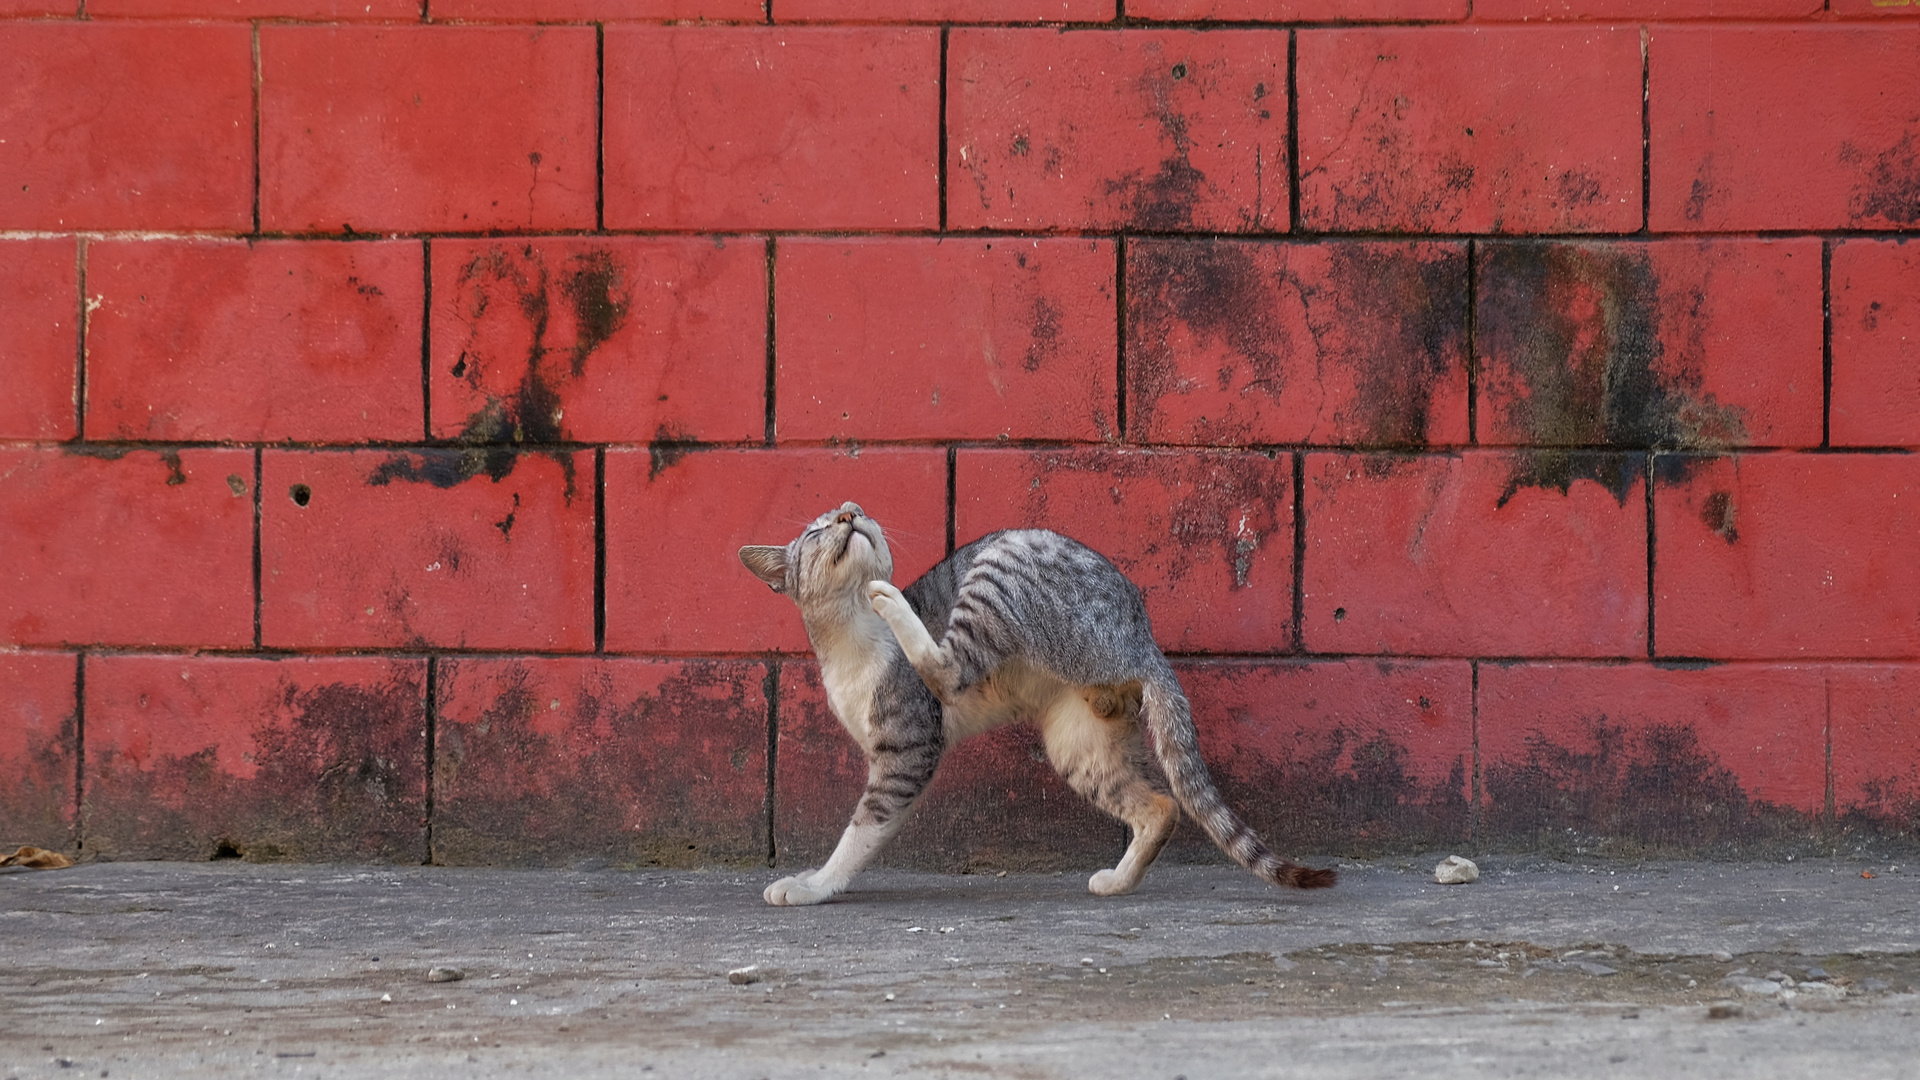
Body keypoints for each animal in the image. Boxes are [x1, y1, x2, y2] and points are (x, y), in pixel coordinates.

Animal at [733, 499, 1336, 903]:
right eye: (816, 530)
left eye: (857, 513)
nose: (848, 513)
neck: (849, 637)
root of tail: (1143, 640)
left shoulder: (908, 748)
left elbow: (861, 830)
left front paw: (813, 885)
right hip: (1079, 745)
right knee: (1161, 806)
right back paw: (1119, 880)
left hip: (1001, 566)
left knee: (949, 669)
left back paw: (891, 601)